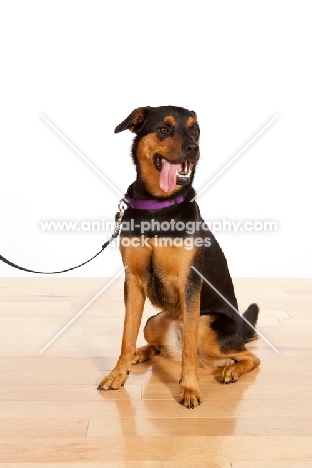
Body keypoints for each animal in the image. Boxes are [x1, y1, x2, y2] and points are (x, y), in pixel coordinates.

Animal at [98, 107, 260, 410]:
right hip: (154, 322)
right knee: (160, 347)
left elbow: (188, 354)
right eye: (164, 129)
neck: (158, 205)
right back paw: (142, 353)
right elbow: (126, 335)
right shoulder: (134, 281)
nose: (193, 148)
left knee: (247, 355)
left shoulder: (190, 282)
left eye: (195, 130)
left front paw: (189, 388)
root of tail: (241, 329)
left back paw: (231, 370)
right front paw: (118, 374)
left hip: (207, 326)